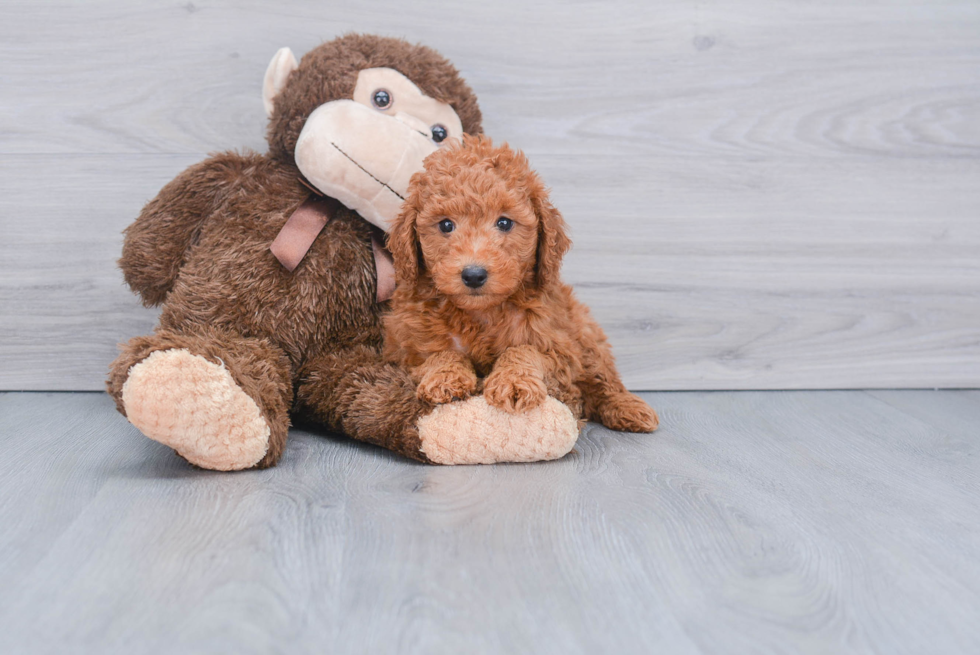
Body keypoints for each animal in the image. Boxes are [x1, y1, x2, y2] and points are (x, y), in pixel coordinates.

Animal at [382, 135, 660, 436]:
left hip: (585, 332)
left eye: (504, 222)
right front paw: (445, 377)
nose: (474, 275)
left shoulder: (559, 347)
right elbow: (439, 353)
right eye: (446, 225)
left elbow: (523, 349)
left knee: (602, 378)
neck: (481, 313)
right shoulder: (405, 348)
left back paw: (628, 408)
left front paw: (513, 382)